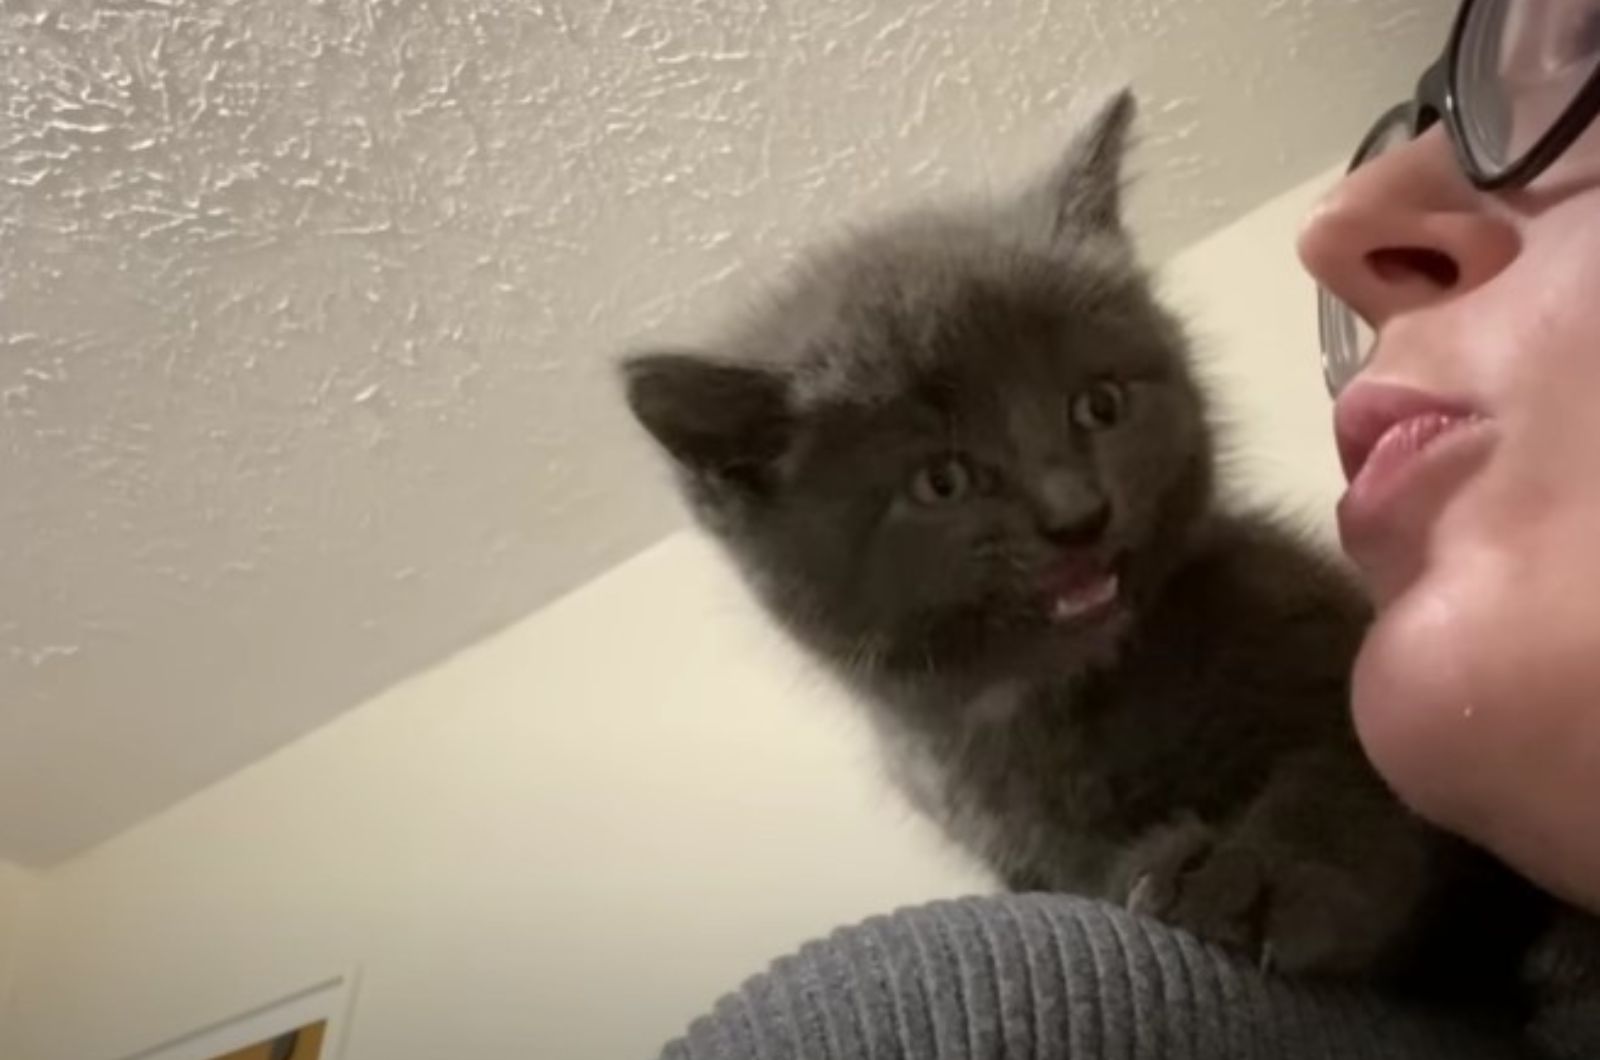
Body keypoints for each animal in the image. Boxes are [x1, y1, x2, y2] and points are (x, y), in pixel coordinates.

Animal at [617, 91, 1542, 999]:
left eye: (1098, 404)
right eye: (940, 482)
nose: (1078, 514)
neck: (1073, 702)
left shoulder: (1333, 637)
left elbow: (1351, 761)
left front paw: (1259, 872)